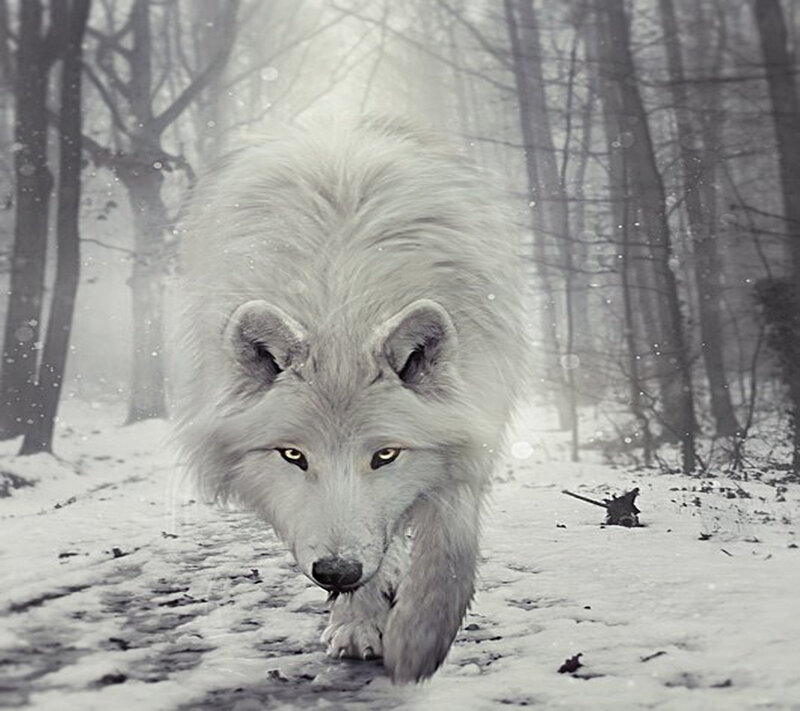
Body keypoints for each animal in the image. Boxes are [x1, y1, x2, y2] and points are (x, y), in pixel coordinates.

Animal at [176, 116, 528, 682]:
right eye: (292, 455)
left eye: (385, 454)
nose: (336, 573)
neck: (341, 304)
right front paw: (359, 622)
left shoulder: (474, 418)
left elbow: (449, 542)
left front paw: (418, 640)